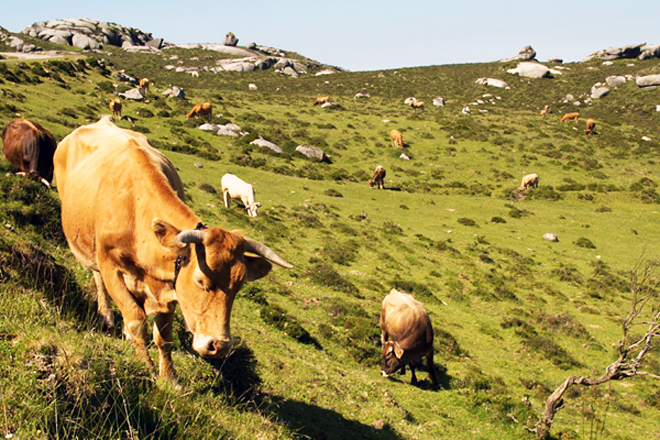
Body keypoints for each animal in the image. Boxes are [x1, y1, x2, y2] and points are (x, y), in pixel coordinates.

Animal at [53, 117, 292, 381]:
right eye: (200, 280)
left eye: (239, 286)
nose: (219, 345)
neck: (136, 210)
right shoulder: (110, 267)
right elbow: (135, 320)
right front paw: (145, 367)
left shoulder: (170, 284)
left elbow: (163, 337)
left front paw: (169, 378)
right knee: (98, 281)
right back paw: (107, 318)